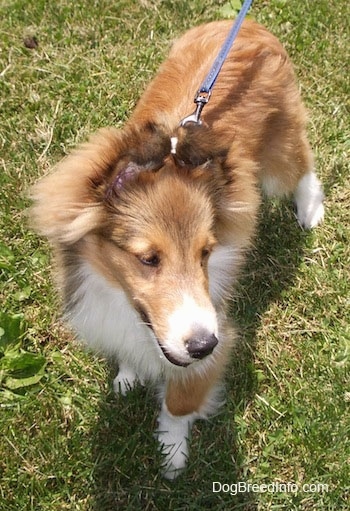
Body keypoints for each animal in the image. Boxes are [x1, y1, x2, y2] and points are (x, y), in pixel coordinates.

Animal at [31, 20, 324, 480]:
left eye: (206, 252)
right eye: (148, 258)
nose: (203, 344)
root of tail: (248, 25)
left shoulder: (217, 334)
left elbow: (180, 402)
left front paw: (172, 453)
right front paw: (128, 374)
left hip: (279, 154)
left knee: (303, 161)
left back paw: (311, 208)